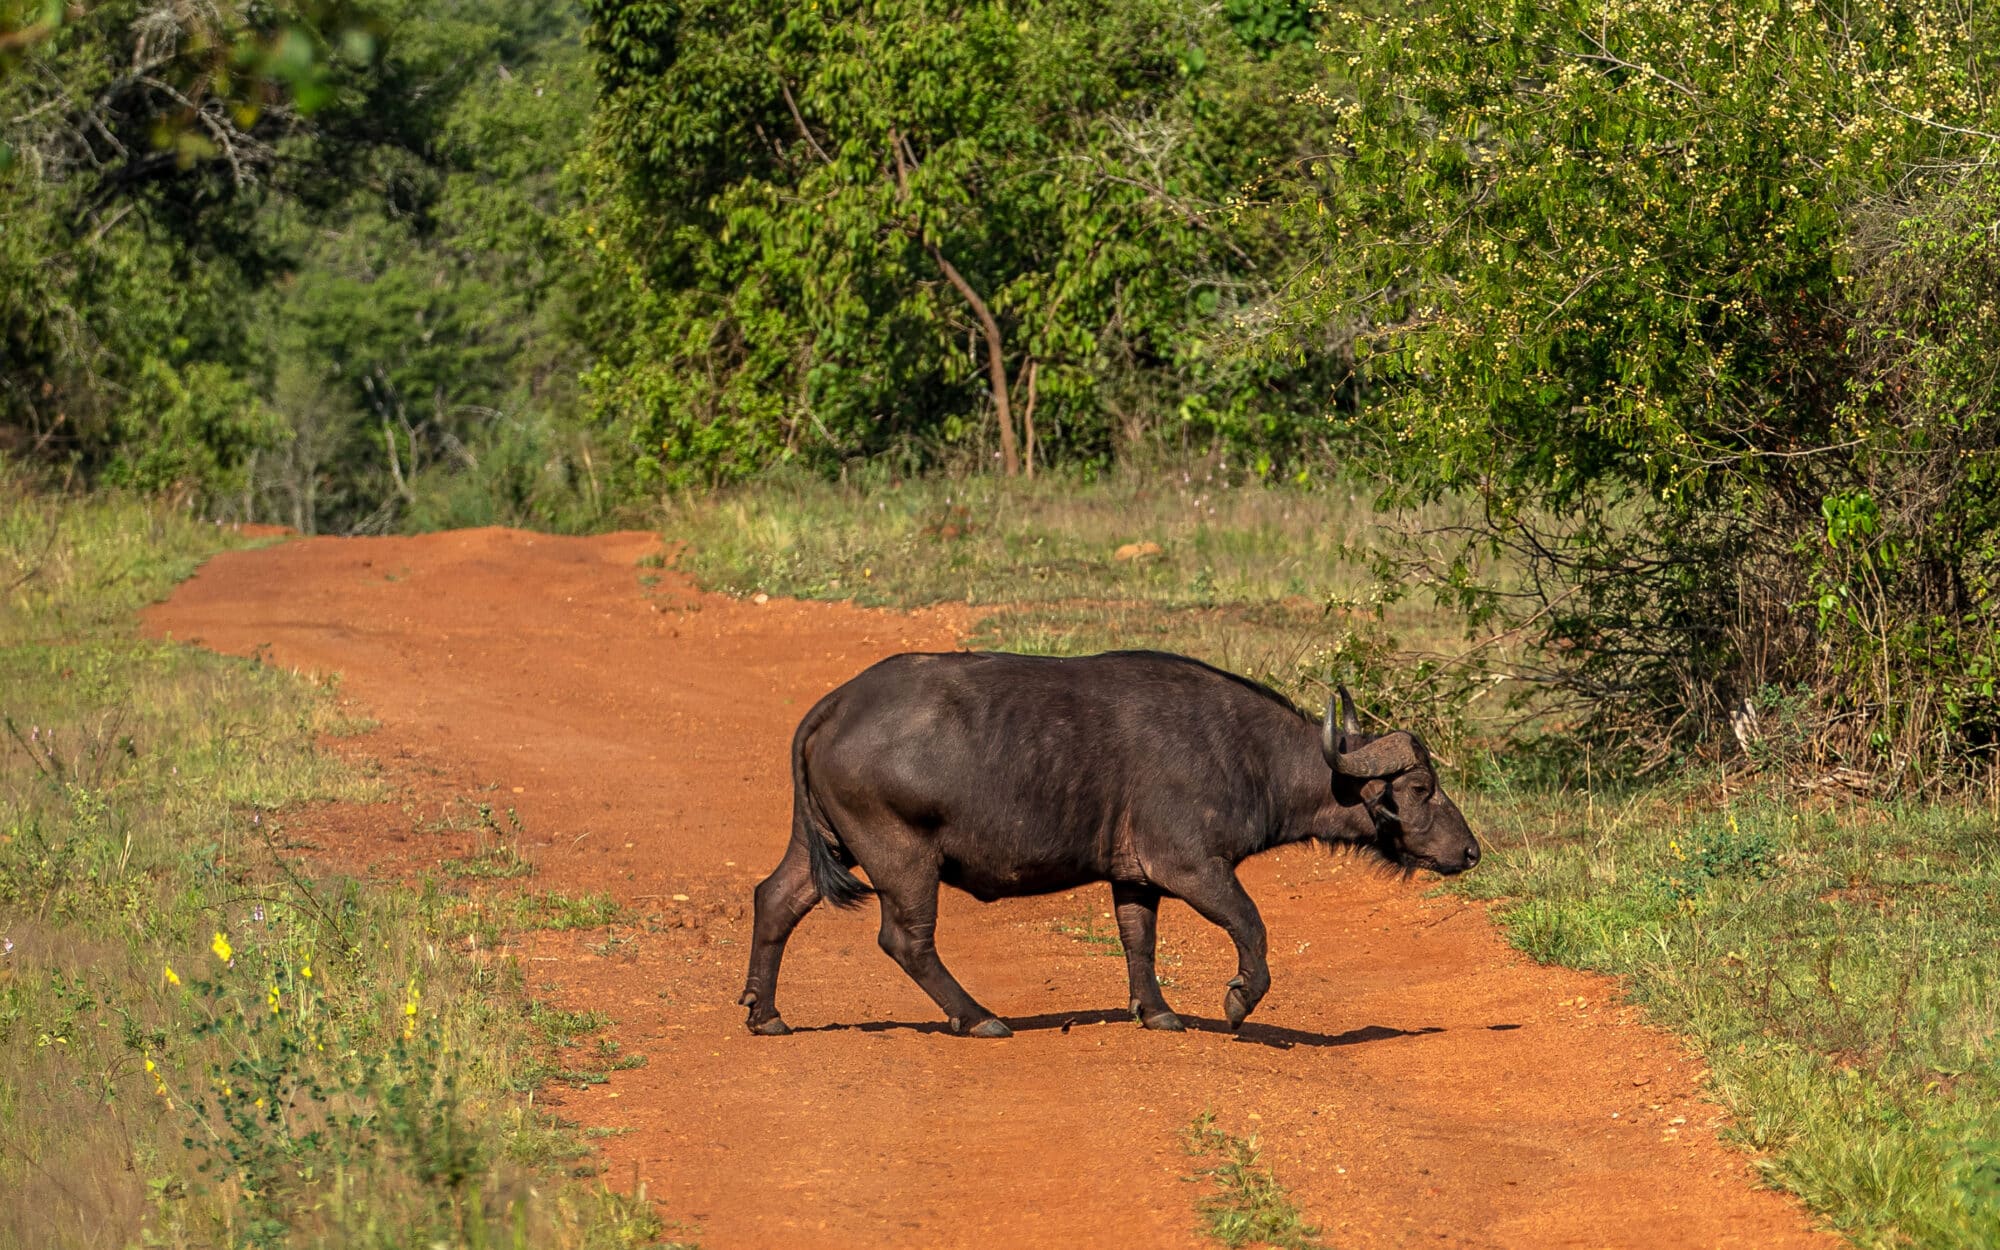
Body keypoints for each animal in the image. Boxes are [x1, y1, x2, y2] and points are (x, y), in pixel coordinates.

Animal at [739, 650, 1479, 1038]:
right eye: (1420, 787)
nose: (1470, 851)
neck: (1251, 755)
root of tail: (839, 702)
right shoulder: (1190, 866)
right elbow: (1252, 925)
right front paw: (1239, 1000)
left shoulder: (1135, 877)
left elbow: (1138, 940)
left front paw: (1156, 1012)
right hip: (902, 859)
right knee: (906, 940)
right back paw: (979, 1018)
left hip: (825, 844)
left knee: (775, 898)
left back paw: (765, 1014)